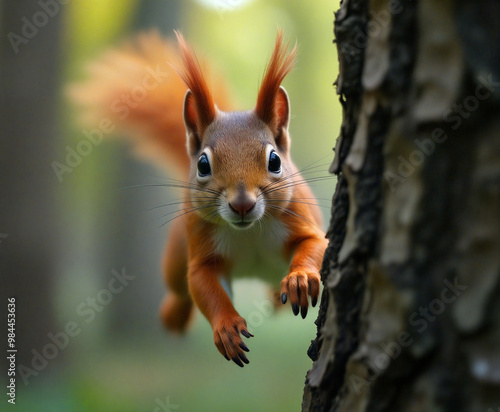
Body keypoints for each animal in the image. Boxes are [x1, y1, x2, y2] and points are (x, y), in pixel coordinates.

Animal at [70, 29, 328, 366]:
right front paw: (227, 328)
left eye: (275, 161)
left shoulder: (300, 220)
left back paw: (279, 296)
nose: (242, 204)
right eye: (204, 165)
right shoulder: (203, 249)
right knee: (180, 287)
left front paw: (299, 279)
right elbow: (203, 285)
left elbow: (314, 245)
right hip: (176, 253)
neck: (248, 232)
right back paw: (174, 315)